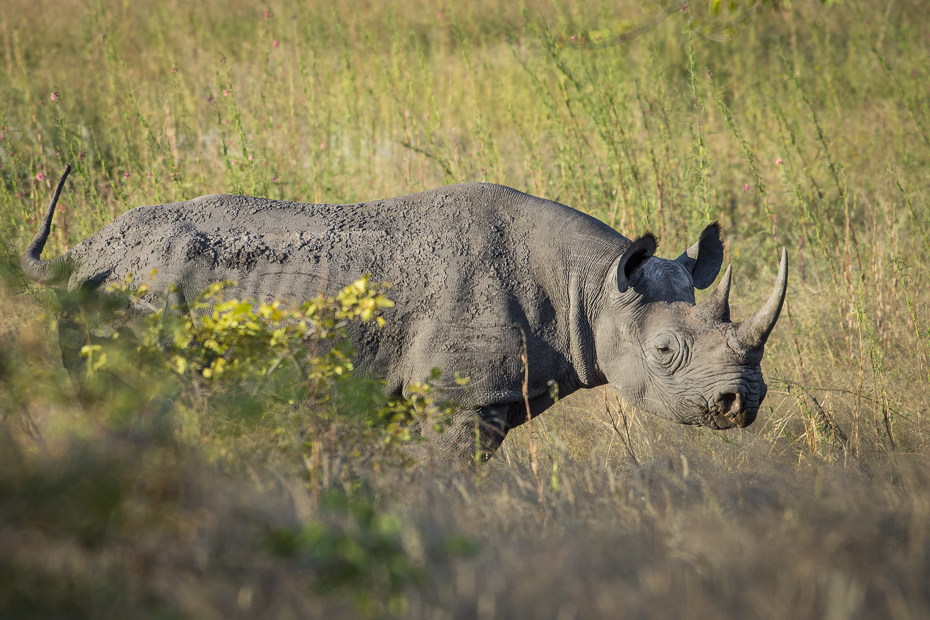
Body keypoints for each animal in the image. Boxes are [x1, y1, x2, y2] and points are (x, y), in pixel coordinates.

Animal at [23, 167, 784, 462]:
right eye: (664, 353)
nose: (741, 404)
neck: (592, 286)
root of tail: (81, 251)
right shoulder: (459, 396)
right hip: (139, 290)